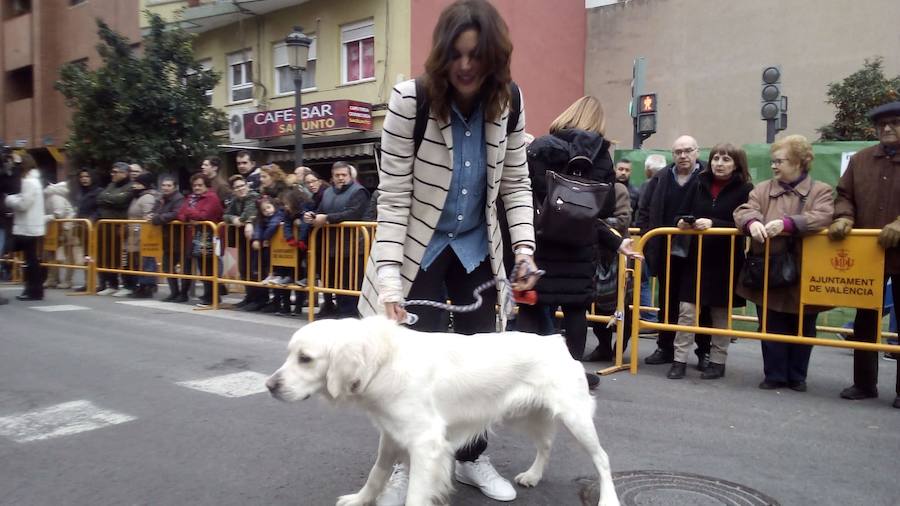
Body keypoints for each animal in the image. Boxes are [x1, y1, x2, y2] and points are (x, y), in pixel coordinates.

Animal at [268, 316, 620, 506]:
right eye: (290, 354)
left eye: (305, 358)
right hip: (529, 415)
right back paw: (533, 475)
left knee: (603, 459)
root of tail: (555, 341)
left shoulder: (426, 443)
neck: (383, 361)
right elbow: (377, 472)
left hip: (576, 418)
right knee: (546, 445)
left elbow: (415, 493)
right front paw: (360, 499)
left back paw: (608, 498)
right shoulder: (392, 434)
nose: (270, 386)